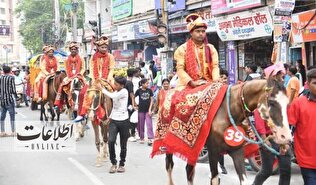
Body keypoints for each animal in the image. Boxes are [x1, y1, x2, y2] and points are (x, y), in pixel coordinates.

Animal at [163, 78, 292, 185]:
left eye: (287, 104)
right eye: (272, 102)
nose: (285, 137)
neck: (228, 111)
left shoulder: (237, 151)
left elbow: (243, 180)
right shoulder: (213, 151)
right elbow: (215, 179)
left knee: (189, 170)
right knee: (169, 165)